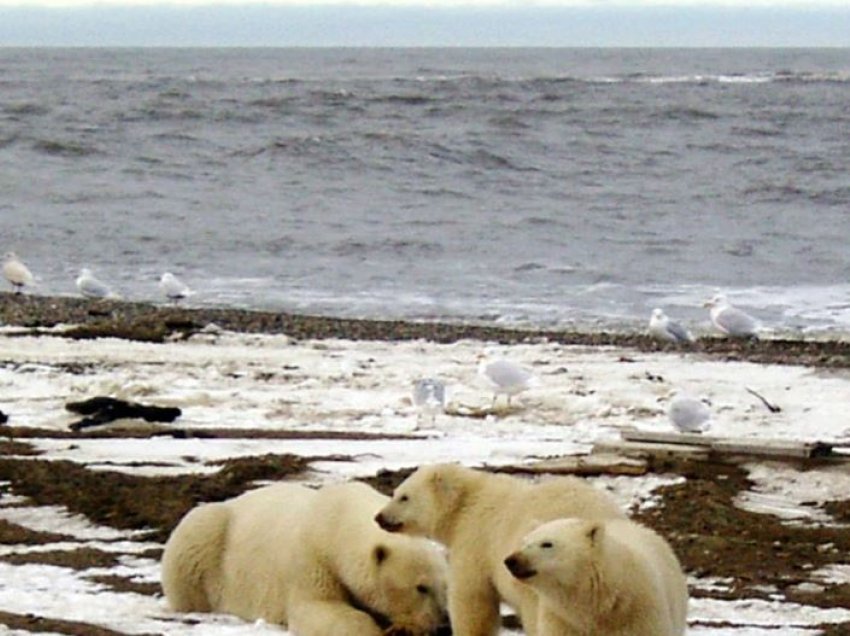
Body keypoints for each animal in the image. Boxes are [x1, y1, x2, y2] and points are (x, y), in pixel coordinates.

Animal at [161, 482, 448, 636]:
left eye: (445, 587)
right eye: (421, 587)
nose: (443, 624)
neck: (338, 521)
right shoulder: (313, 560)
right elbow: (319, 608)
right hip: (208, 537)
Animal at [374, 462, 628, 636]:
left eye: (404, 497)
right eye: (395, 492)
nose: (379, 517)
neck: (466, 503)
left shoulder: (476, 540)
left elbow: (472, 597)